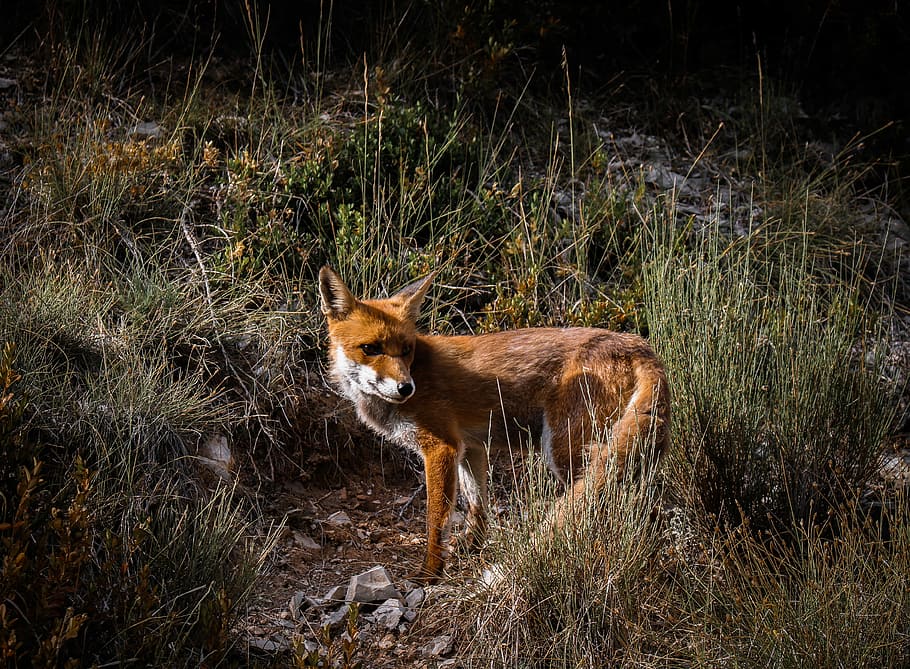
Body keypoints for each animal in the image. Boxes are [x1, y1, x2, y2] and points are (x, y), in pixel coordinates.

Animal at [318, 265, 670, 582]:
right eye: (370, 348)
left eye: (406, 350)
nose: (406, 388)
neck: (419, 371)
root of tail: (638, 345)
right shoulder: (470, 448)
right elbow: (477, 506)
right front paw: (472, 547)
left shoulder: (441, 447)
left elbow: (436, 520)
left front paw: (430, 573)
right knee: (646, 509)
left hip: (567, 452)